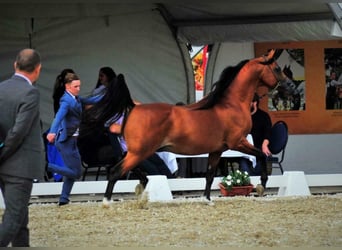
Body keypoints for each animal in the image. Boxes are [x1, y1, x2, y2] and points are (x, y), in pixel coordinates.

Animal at [102, 48, 296, 205]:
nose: (291, 86)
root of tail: (133, 107)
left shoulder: (217, 150)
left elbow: (209, 175)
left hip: (137, 151)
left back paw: (141, 189)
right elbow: (262, 155)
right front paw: (262, 186)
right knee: (116, 171)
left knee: (124, 168)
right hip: (141, 152)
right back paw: (107, 201)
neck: (231, 105)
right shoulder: (238, 143)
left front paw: (207, 199)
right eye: (277, 69)